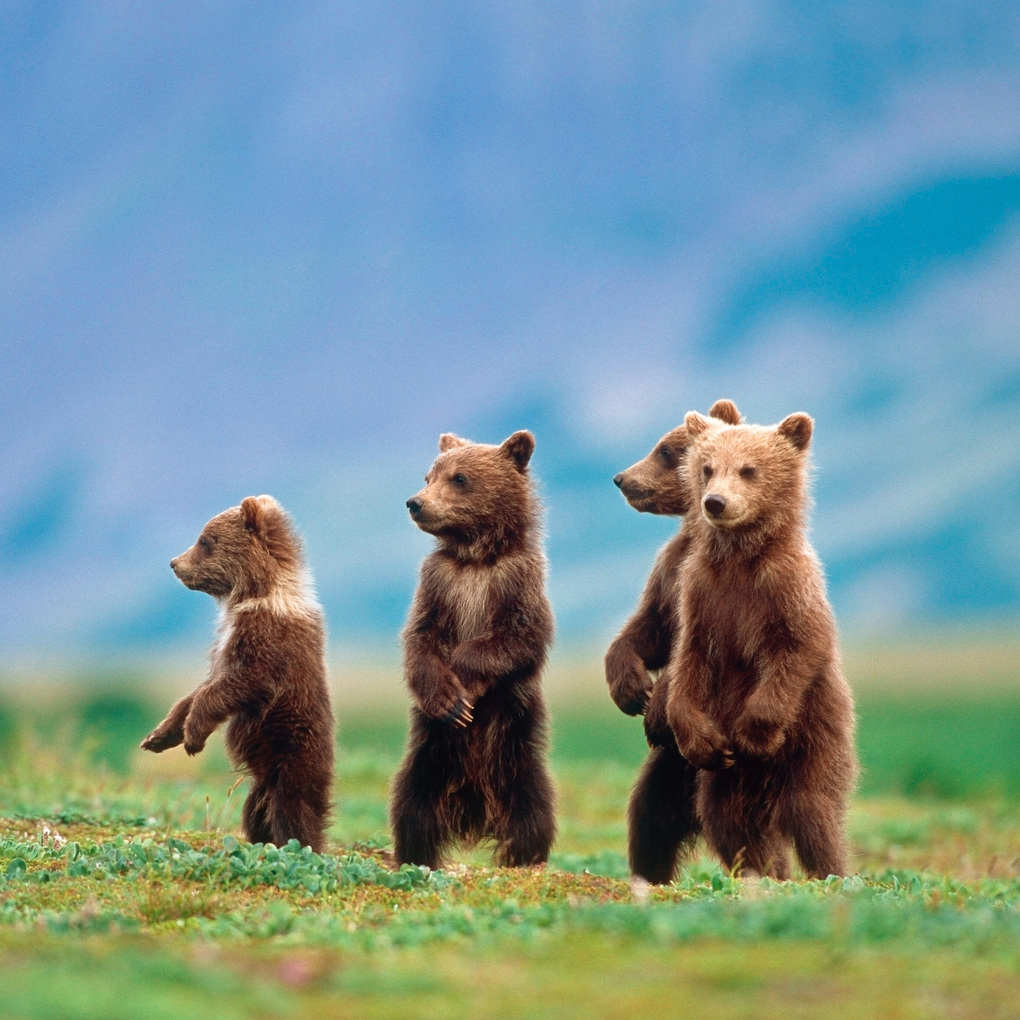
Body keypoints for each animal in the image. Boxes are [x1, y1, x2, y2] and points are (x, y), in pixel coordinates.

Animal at [141, 495, 335, 854]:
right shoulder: (223, 643)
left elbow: (236, 685)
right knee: (256, 810)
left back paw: (298, 845)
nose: (174, 563)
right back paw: (260, 840)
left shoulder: (267, 641)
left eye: (205, 540)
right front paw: (159, 736)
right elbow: (200, 688)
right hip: (262, 781)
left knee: (293, 807)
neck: (254, 595)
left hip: (293, 752)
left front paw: (193, 736)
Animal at [389, 430, 556, 870]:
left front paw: (463, 686)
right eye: (429, 475)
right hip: (429, 757)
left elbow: (519, 639)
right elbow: (421, 639)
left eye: (460, 478)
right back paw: (416, 856)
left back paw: (524, 857)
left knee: (532, 811)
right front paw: (449, 700)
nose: (415, 502)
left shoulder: (517, 582)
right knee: (412, 809)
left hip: (515, 749)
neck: (477, 557)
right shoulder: (440, 584)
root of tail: (474, 805)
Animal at [606, 399, 742, 884]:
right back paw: (650, 874)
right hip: (667, 771)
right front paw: (630, 689)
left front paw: (654, 703)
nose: (621, 478)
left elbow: (687, 651)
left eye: (664, 449)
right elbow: (646, 631)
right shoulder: (668, 573)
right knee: (649, 820)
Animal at [664, 411, 857, 879]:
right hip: (725, 781)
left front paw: (754, 731)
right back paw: (766, 872)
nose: (715, 502)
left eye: (749, 469)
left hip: (815, 738)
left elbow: (798, 648)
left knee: (812, 810)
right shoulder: (701, 595)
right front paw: (699, 740)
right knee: (728, 821)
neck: (739, 558)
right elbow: (689, 662)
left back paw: (831, 873)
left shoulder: (784, 589)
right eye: (707, 467)